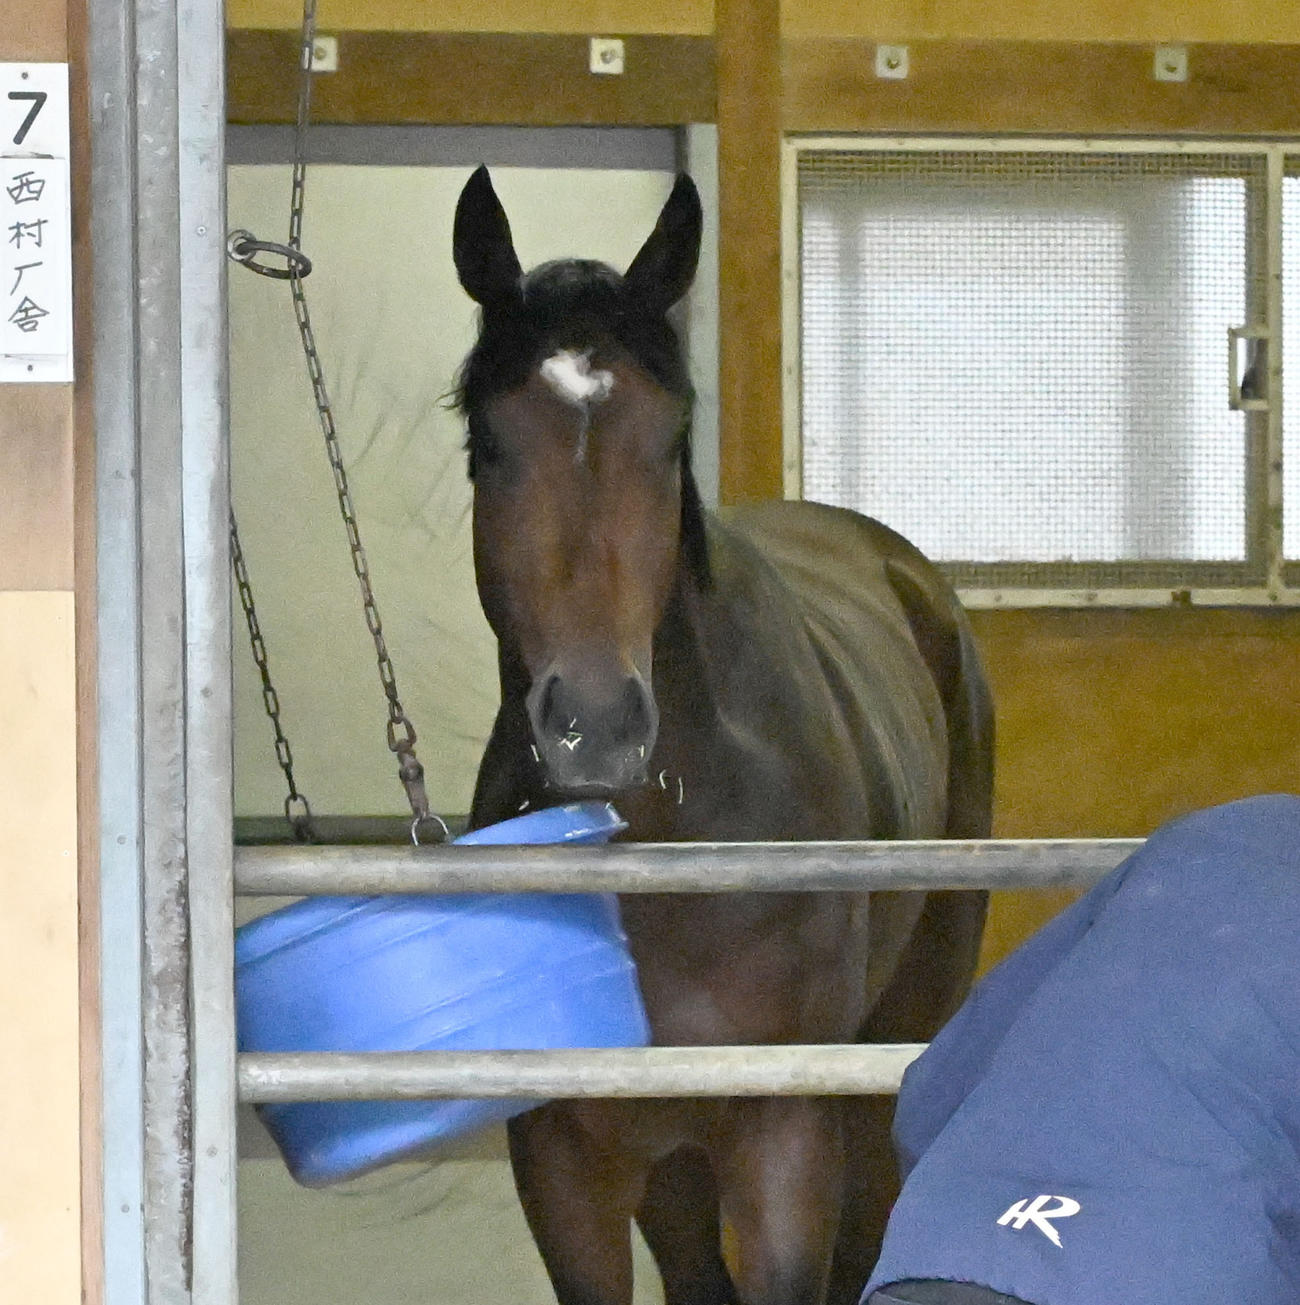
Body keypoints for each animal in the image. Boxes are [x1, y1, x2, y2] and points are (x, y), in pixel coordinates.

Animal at [451, 165, 995, 1305]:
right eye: (490, 445)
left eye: (669, 440)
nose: (597, 725)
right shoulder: (564, 1157)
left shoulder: (782, 1137)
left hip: (890, 1051)